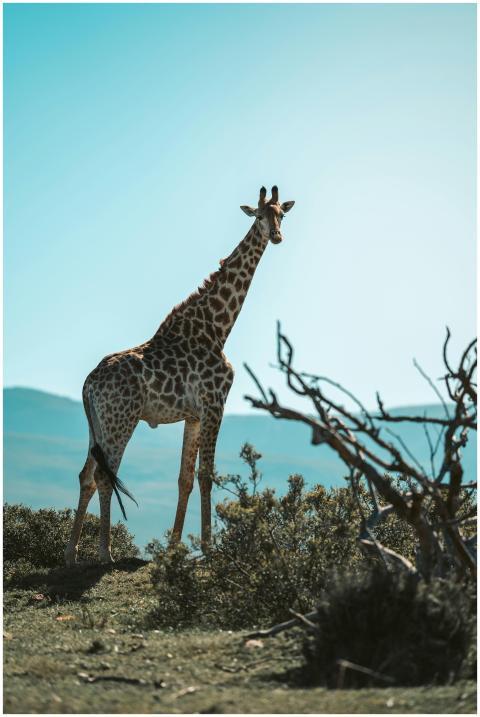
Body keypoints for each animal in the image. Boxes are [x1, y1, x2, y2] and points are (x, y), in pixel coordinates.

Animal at [64, 186, 295, 566]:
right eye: (260, 216)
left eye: (282, 215)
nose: (276, 236)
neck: (218, 328)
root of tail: (87, 384)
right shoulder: (215, 404)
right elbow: (206, 475)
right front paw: (209, 550)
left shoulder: (194, 415)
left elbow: (184, 478)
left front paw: (174, 550)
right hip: (121, 419)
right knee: (103, 474)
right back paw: (105, 554)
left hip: (95, 423)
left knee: (86, 474)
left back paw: (70, 555)